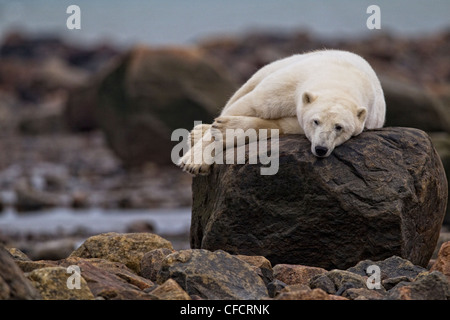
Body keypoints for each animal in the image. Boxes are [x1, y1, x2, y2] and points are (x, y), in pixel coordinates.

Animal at [178, 49, 384, 175]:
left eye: (339, 127)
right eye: (315, 121)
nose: (321, 149)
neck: (339, 79)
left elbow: (282, 124)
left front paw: (227, 130)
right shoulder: (290, 83)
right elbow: (251, 104)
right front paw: (194, 161)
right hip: (274, 67)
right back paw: (199, 131)